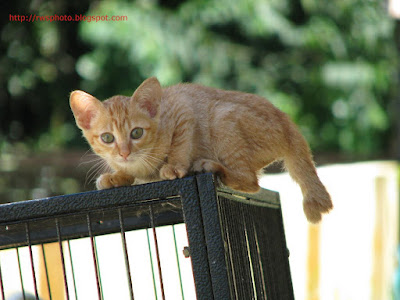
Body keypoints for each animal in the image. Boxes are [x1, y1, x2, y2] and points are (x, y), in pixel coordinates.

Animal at [70, 77, 332, 223]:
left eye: (136, 133)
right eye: (107, 138)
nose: (124, 153)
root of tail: (287, 121)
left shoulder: (182, 109)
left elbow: (180, 144)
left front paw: (174, 167)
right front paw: (116, 177)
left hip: (223, 117)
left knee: (250, 182)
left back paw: (210, 166)